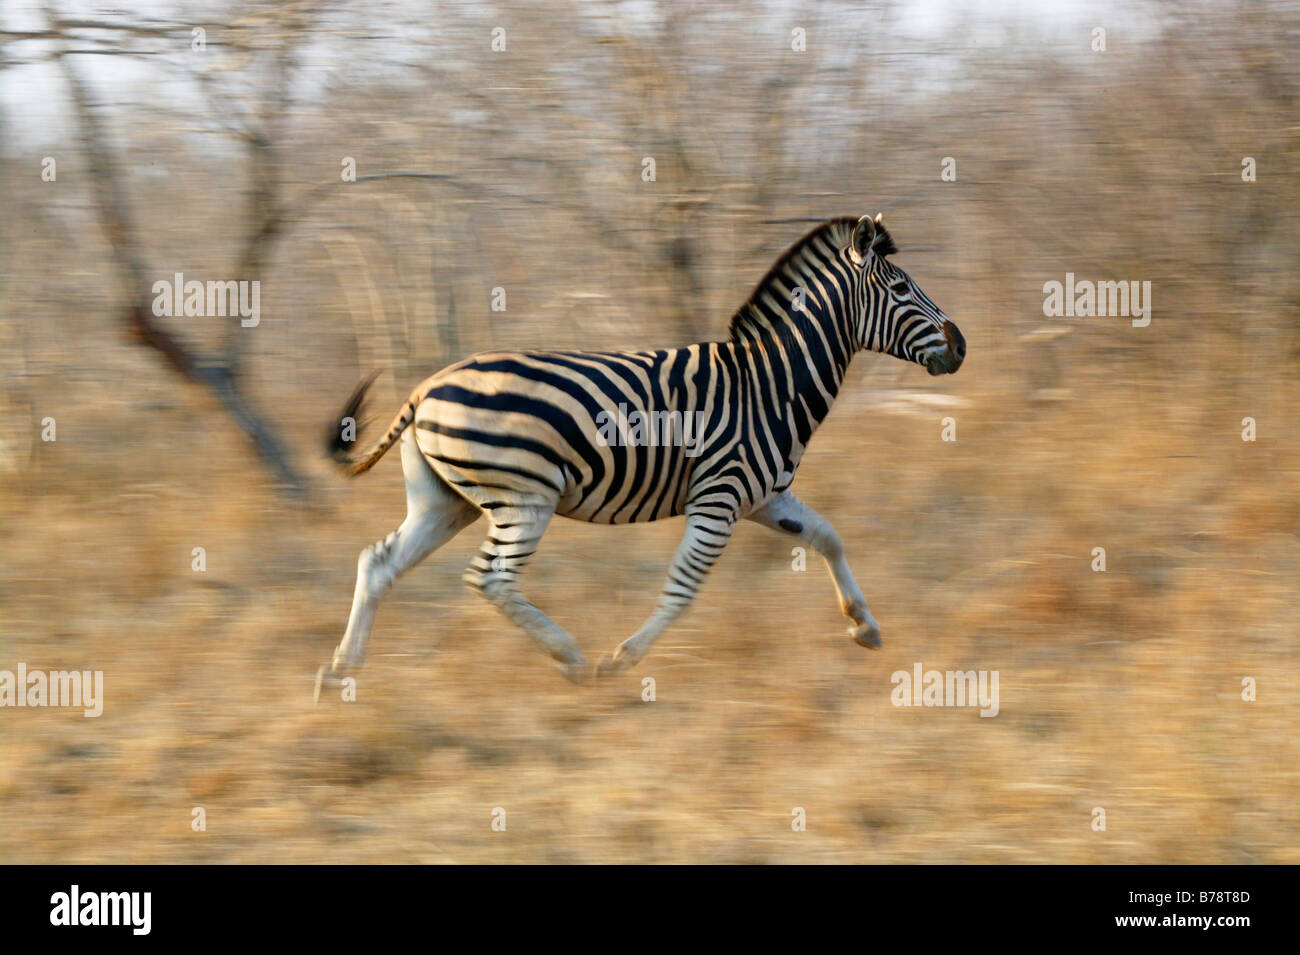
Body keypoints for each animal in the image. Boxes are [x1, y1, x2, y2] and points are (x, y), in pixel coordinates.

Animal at [315, 213, 967, 696]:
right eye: (902, 288)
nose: (960, 346)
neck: (771, 383)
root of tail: (426, 386)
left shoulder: (765, 496)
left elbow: (829, 536)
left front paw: (865, 627)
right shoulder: (720, 497)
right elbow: (682, 589)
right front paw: (622, 659)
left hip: (446, 501)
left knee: (378, 563)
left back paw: (341, 672)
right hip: (524, 497)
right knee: (490, 579)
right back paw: (571, 658)